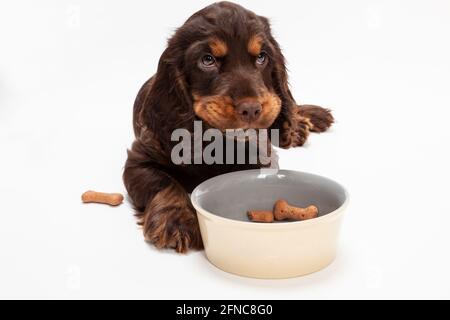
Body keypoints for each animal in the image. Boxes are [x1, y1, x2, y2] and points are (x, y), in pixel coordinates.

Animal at [123, 1, 334, 252]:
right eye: (207, 60)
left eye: (261, 57)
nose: (251, 109)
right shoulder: (140, 160)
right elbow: (164, 182)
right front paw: (177, 220)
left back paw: (299, 125)